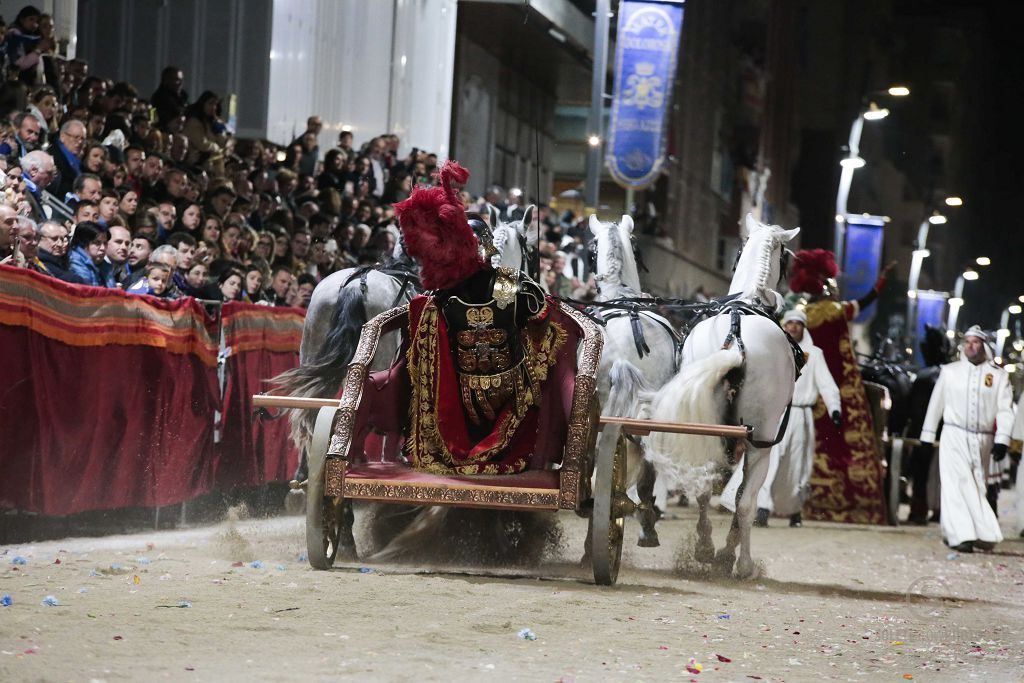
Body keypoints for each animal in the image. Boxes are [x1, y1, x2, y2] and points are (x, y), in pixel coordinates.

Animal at [638, 214, 798, 577]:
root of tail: (736, 338)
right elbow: (738, 495)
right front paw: (730, 551)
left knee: (705, 485)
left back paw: (708, 549)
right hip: (761, 439)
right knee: (742, 499)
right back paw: (736, 560)